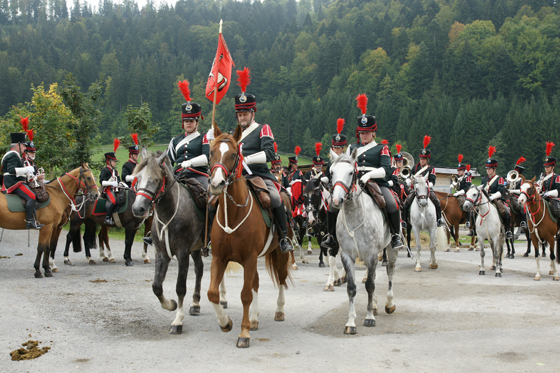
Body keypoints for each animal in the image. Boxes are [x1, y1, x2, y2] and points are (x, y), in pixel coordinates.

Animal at [131, 150, 206, 332]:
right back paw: (195, 304)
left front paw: (178, 320)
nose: (138, 208)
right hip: (196, 248)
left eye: (156, 180)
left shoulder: (182, 253)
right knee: (199, 269)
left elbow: (180, 287)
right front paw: (170, 305)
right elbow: (156, 286)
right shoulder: (161, 253)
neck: (168, 212)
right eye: (138, 178)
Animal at [207, 125, 294, 348]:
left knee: (281, 279)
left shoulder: (249, 258)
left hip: (280, 254)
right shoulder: (219, 258)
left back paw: (279, 310)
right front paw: (225, 322)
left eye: (233, 155)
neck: (233, 214)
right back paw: (254, 319)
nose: (217, 183)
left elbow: (245, 294)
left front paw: (243, 334)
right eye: (211, 152)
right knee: (255, 282)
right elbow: (213, 293)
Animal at [330, 151, 396, 334]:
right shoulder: (347, 255)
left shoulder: (372, 255)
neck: (354, 215)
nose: (336, 200)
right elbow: (352, 288)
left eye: (351, 172)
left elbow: (370, 285)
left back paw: (389, 304)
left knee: (389, 272)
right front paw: (351, 323)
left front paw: (369, 318)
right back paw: (374, 305)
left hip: (390, 250)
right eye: (331, 172)